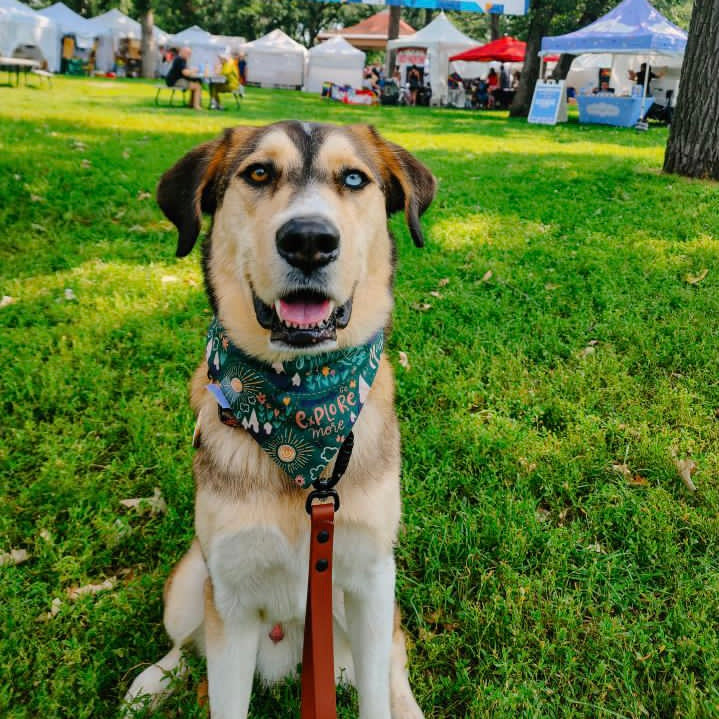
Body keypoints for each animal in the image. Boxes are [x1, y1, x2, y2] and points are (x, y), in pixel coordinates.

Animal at [124, 121, 436, 716]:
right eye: (259, 173)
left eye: (354, 179)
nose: (309, 240)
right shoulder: (230, 597)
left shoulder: (370, 578)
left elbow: (377, 690)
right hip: (190, 580)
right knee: (183, 643)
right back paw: (153, 680)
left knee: (394, 660)